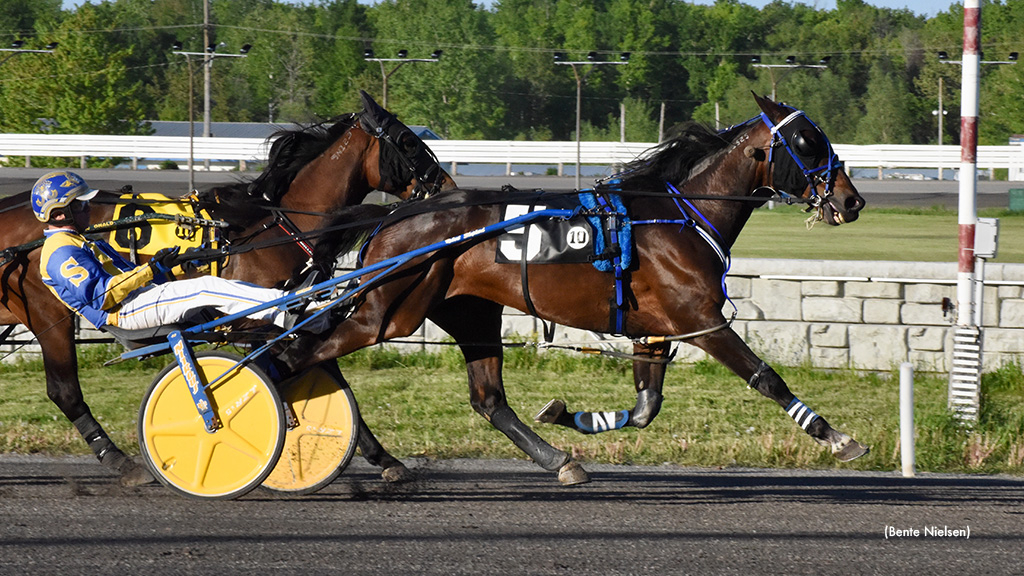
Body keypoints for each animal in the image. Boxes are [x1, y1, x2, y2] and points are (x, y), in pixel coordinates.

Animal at [0, 90, 452, 483]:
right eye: (409, 142)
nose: (446, 186)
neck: (273, 226)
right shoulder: (253, 322)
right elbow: (302, 359)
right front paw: (383, 458)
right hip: (49, 316)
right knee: (64, 391)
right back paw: (120, 462)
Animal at [278, 93, 864, 479]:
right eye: (808, 142)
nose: (852, 200)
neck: (678, 216)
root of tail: (394, 215)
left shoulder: (655, 331)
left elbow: (646, 408)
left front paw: (565, 416)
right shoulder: (701, 320)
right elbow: (766, 378)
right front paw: (838, 438)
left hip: (470, 313)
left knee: (488, 398)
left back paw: (558, 460)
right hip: (388, 312)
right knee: (299, 354)